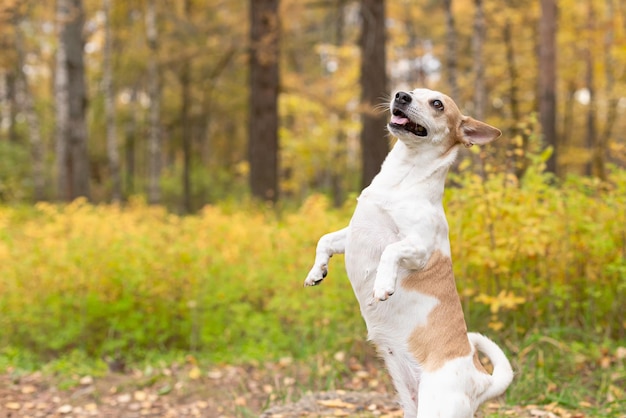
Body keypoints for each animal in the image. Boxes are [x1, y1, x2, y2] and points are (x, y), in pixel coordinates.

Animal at [302, 89, 512, 418]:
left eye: (437, 104)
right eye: (413, 91)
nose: (401, 95)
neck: (402, 179)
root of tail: (481, 379)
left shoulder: (419, 247)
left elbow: (390, 251)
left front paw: (382, 285)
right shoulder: (353, 235)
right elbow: (325, 241)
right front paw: (317, 271)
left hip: (436, 408)